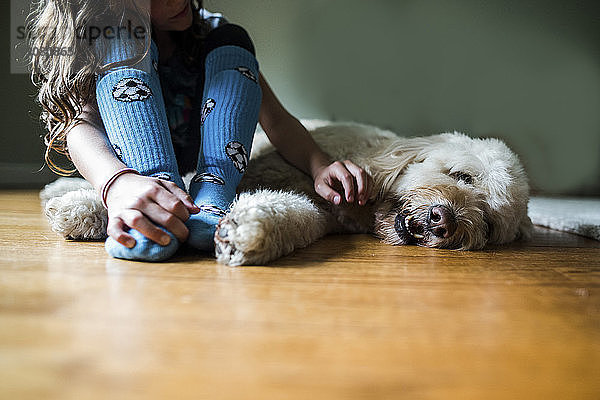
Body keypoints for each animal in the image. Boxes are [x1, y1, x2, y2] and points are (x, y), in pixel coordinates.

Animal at [39, 120, 532, 268]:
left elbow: (284, 213)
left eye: (488, 223)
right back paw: (60, 189)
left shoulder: (314, 212)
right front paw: (84, 208)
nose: (444, 223)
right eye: (462, 176)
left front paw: (244, 231)